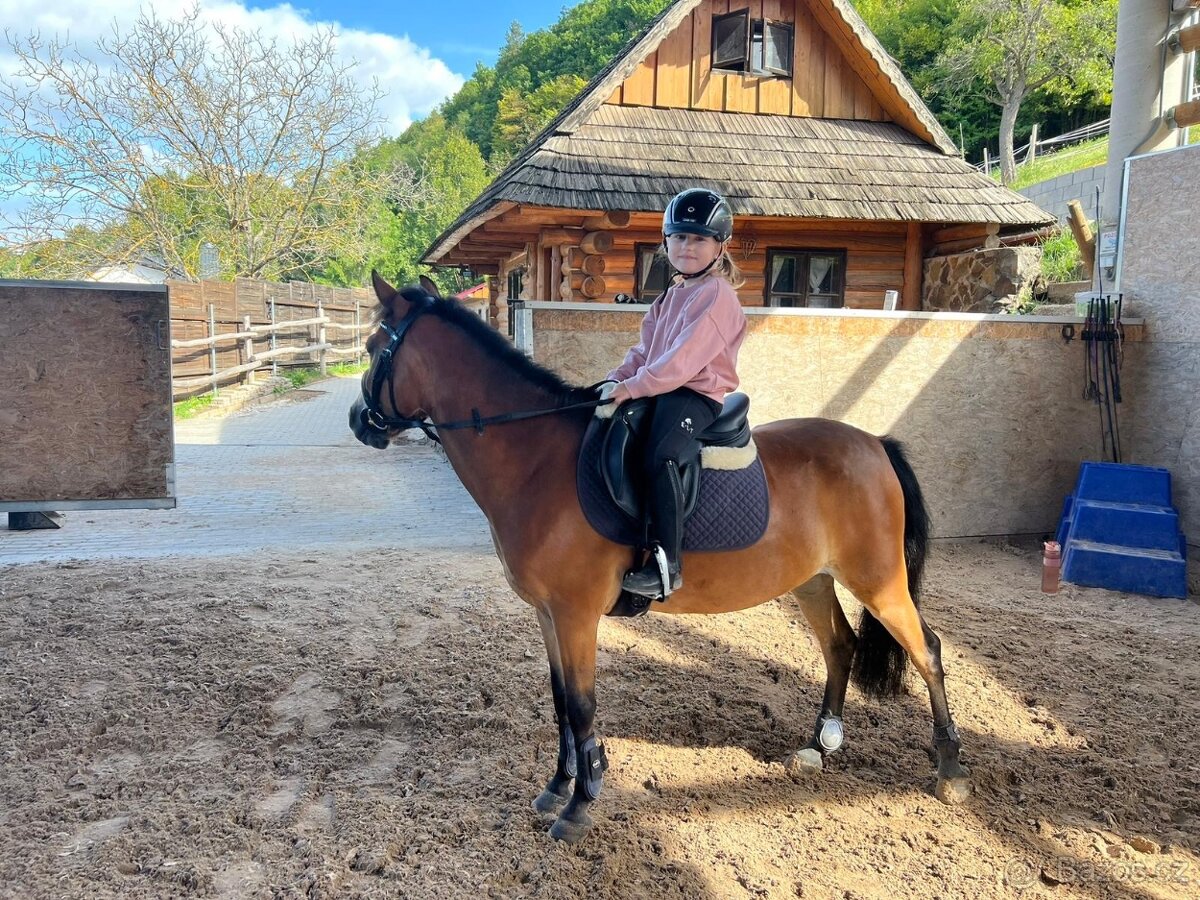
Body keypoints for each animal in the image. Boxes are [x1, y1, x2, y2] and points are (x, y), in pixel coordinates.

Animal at [349, 273, 971, 844]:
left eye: (376, 347)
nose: (358, 420)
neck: (537, 460)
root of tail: (874, 444)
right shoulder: (548, 614)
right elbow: (560, 701)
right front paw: (557, 787)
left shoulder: (575, 615)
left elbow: (581, 705)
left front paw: (579, 805)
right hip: (813, 579)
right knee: (840, 645)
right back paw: (819, 746)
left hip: (879, 582)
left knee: (928, 652)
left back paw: (951, 770)